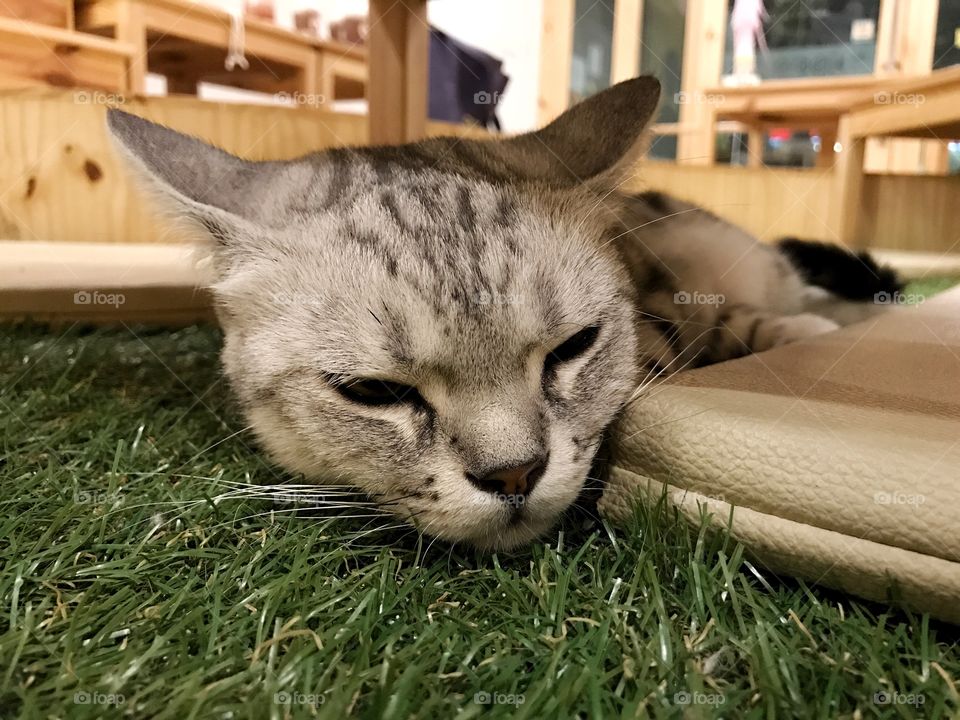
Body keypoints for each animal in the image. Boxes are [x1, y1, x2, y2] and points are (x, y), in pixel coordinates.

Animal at [107, 76, 900, 552]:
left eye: (574, 347)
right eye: (373, 391)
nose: (515, 475)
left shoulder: (678, 299)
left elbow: (731, 321)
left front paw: (805, 335)